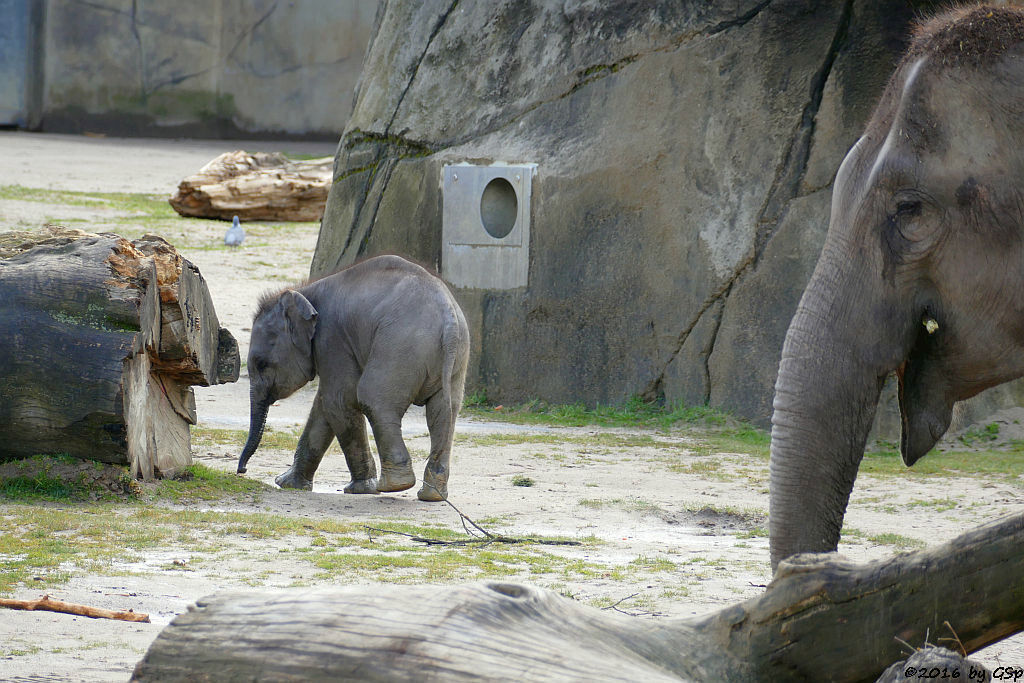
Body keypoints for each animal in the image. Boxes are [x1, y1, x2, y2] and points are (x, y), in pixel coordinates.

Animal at [234, 255, 468, 501]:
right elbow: (324, 406)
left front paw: (361, 489)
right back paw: (432, 495)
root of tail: (449, 320)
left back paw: (393, 485)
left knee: (373, 399)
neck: (305, 291)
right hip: (454, 357)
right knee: (443, 412)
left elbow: (338, 401)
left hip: (400, 347)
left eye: (261, 364)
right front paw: (287, 483)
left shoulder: (332, 338)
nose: (242, 470)